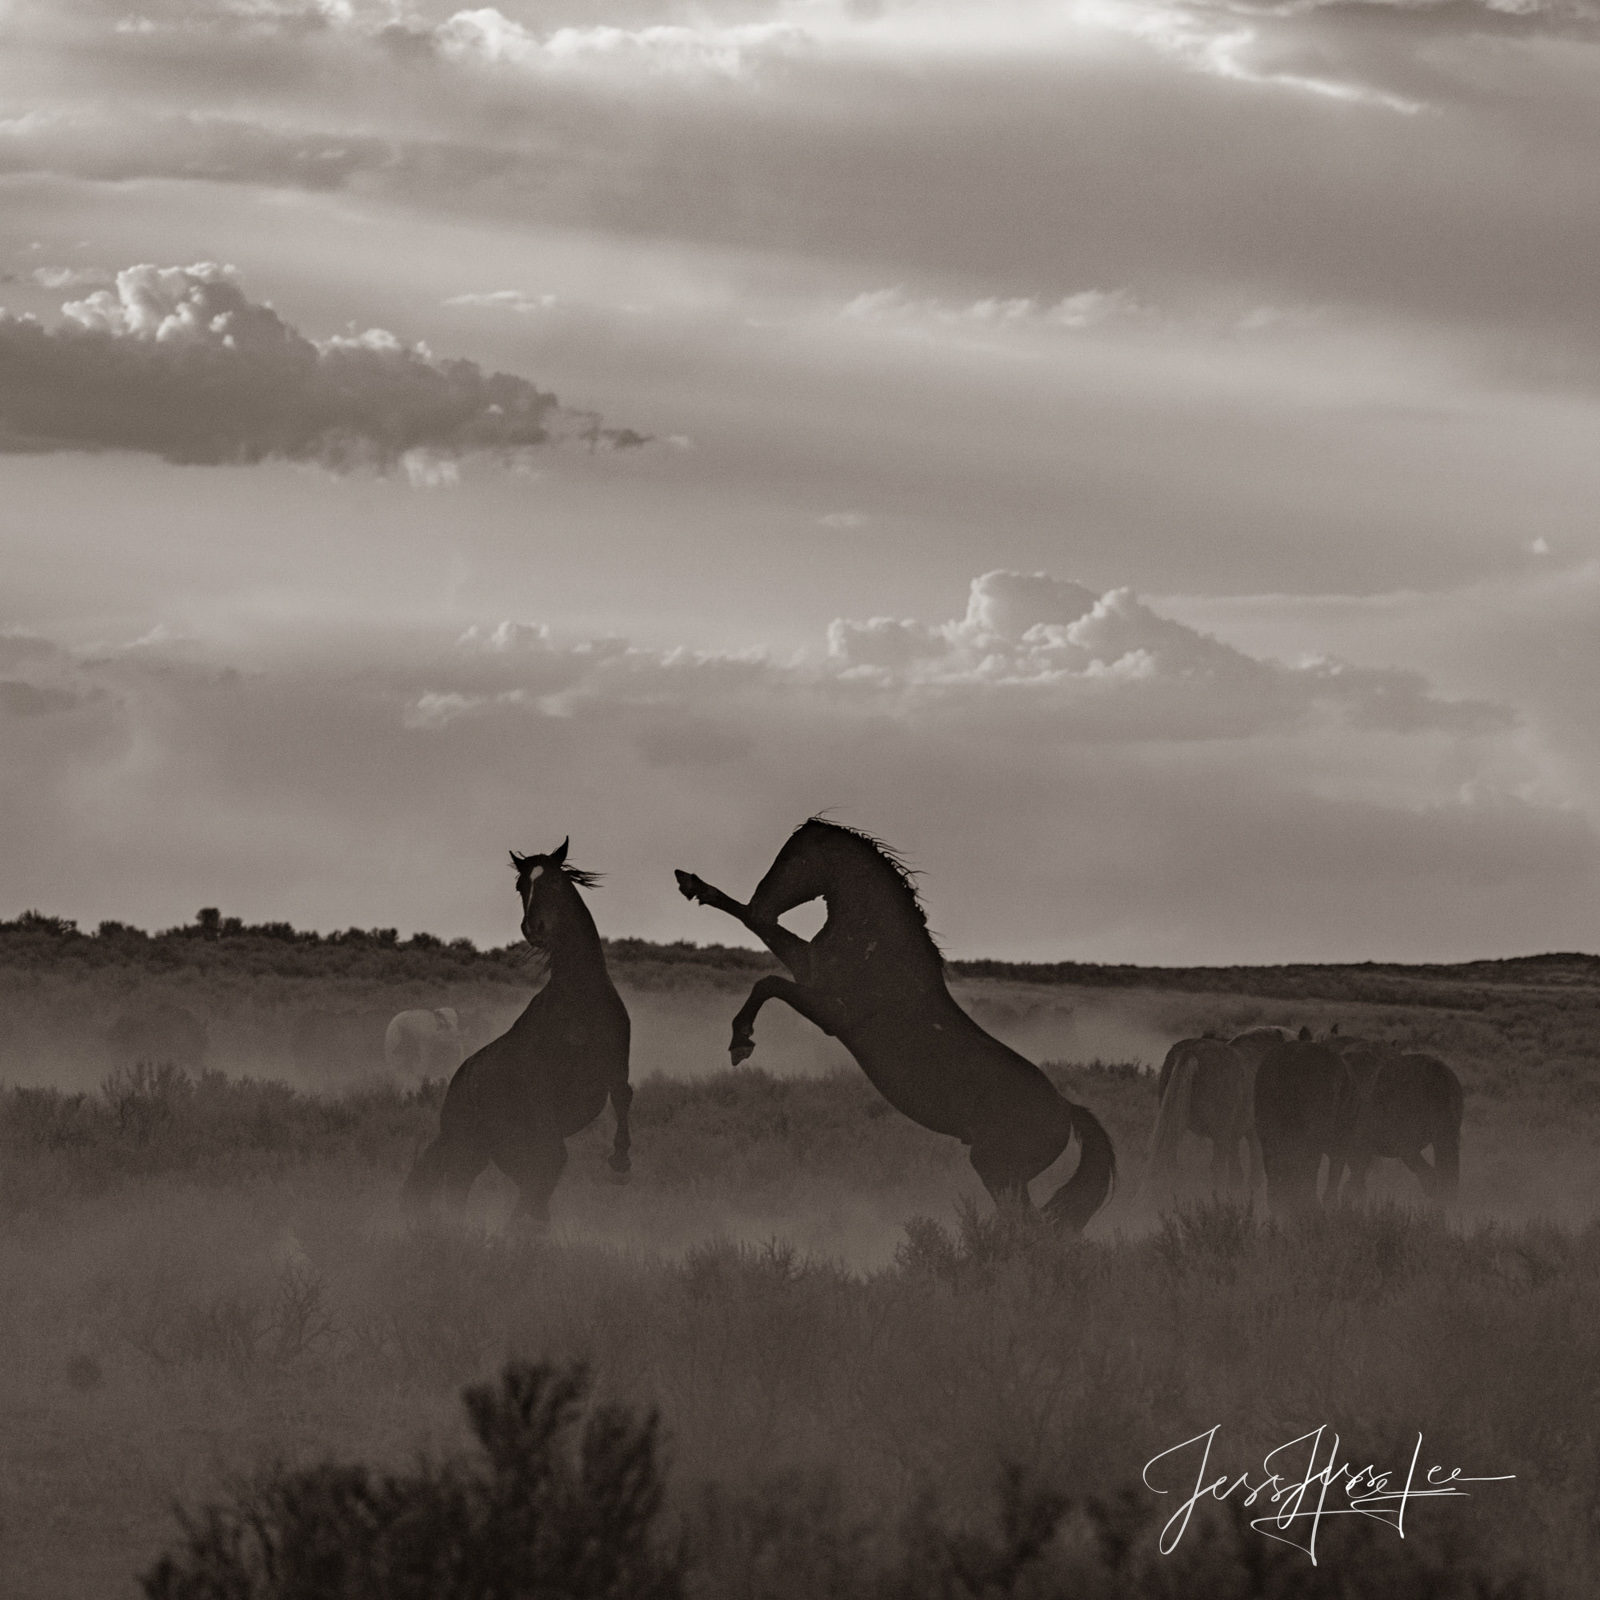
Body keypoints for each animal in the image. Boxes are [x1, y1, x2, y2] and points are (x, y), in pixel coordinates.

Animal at [403, 844, 633, 1228]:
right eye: (520, 885)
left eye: (554, 881)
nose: (533, 928)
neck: (581, 997)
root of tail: (455, 1092)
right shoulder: (543, 1095)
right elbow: (552, 1158)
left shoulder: (615, 1068)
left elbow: (623, 1098)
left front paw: (620, 1163)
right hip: (471, 1147)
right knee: (466, 1191)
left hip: (494, 1150)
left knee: (528, 1183)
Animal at [672, 819, 1113, 1228]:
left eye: (795, 859)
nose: (762, 902)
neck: (876, 951)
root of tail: (1066, 1109)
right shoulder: (807, 968)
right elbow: (757, 931)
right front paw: (694, 886)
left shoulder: (830, 1010)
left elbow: (767, 981)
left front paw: (741, 1042)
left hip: (999, 1169)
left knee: (1028, 1226)